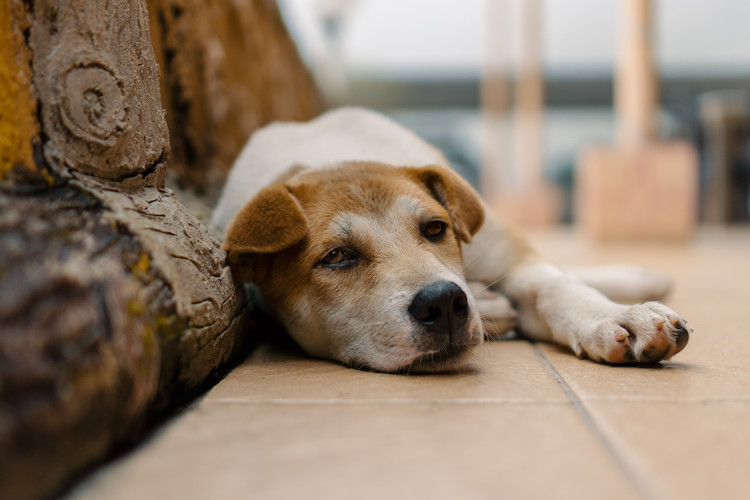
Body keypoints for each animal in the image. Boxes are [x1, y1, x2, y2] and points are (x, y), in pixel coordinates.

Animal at [213, 110, 692, 376]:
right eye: (337, 256)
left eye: (434, 229)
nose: (443, 303)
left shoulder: (510, 257)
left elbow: (556, 286)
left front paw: (618, 315)